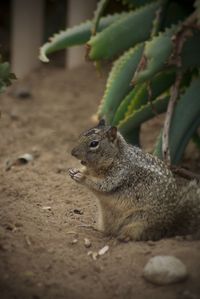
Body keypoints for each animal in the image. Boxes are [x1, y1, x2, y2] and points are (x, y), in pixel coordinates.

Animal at [68, 119, 200, 241]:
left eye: (94, 143)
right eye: (83, 134)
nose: (73, 153)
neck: (116, 157)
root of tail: (167, 228)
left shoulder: (119, 175)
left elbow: (102, 186)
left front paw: (81, 177)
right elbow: (86, 170)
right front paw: (74, 170)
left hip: (139, 222)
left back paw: (122, 237)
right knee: (108, 230)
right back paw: (93, 228)